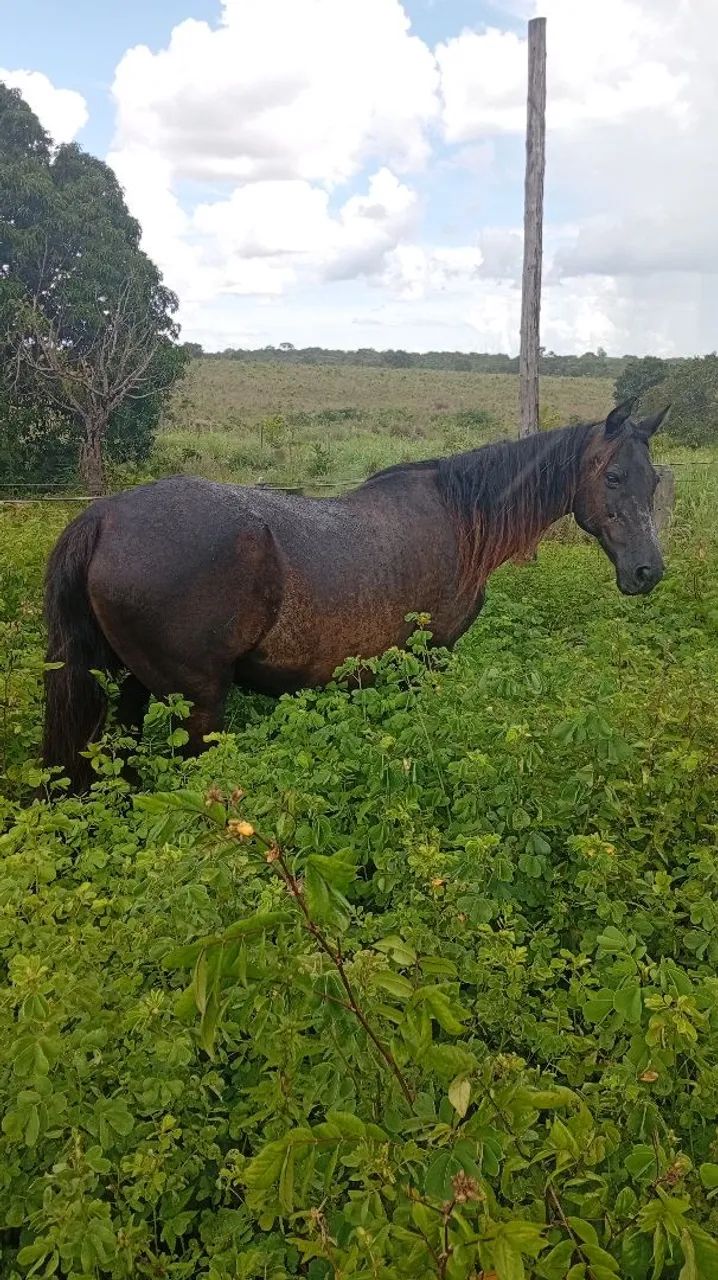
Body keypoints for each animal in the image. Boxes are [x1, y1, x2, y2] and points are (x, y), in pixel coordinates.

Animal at [42, 400, 669, 791]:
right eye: (613, 476)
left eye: (656, 479)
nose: (648, 571)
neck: (459, 518)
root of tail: (104, 516)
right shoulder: (429, 658)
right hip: (196, 702)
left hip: (128, 686)